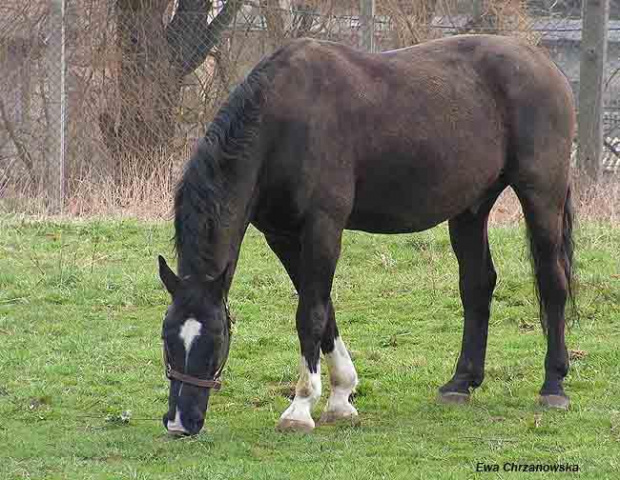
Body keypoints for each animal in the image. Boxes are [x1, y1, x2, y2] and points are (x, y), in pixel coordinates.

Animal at [156, 33, 576, 436]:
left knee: (553, 282)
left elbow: (310, 313)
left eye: (215, 337)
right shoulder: (284, 237)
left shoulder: (323, 227)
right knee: (477, 286)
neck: (283, 124)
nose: (179, 422)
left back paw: (553, 385)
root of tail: (546, 64)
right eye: (166, 337)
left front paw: (301, 408)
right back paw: (461, 382)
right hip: (472, 208)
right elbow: (324, 310)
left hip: (541, 195)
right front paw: (342, 397)